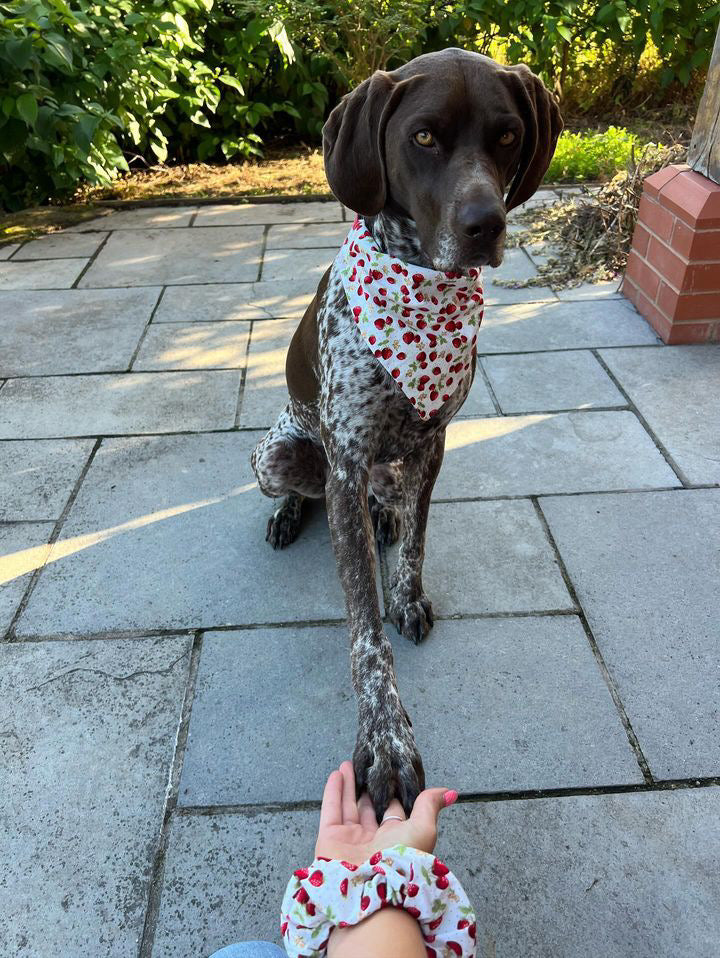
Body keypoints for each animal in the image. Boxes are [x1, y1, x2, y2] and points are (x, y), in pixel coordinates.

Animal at [252, 48, 564, 820]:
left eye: (508, 135)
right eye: (423, 137)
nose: (486, 224)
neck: (422, 289)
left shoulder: (433, 445)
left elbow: (417, 543)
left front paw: (407, 594)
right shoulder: (345, 460)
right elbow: (364, 634)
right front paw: (386, 742)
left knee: (387, 506)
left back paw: (383, 519)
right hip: (278, 451)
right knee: (305, 489)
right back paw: (289, 515)